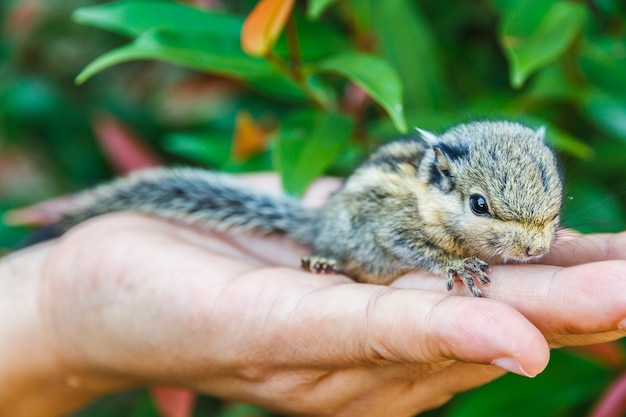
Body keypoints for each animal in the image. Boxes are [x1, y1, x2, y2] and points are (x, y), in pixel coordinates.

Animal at [50, 120, 560, 296]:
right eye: (479, 205)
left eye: (554, 206)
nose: (535, 250)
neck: (427, 198)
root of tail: (319, 222)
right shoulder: (393, 226)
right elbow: (414, 246)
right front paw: (458, 264)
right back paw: (324, 261)